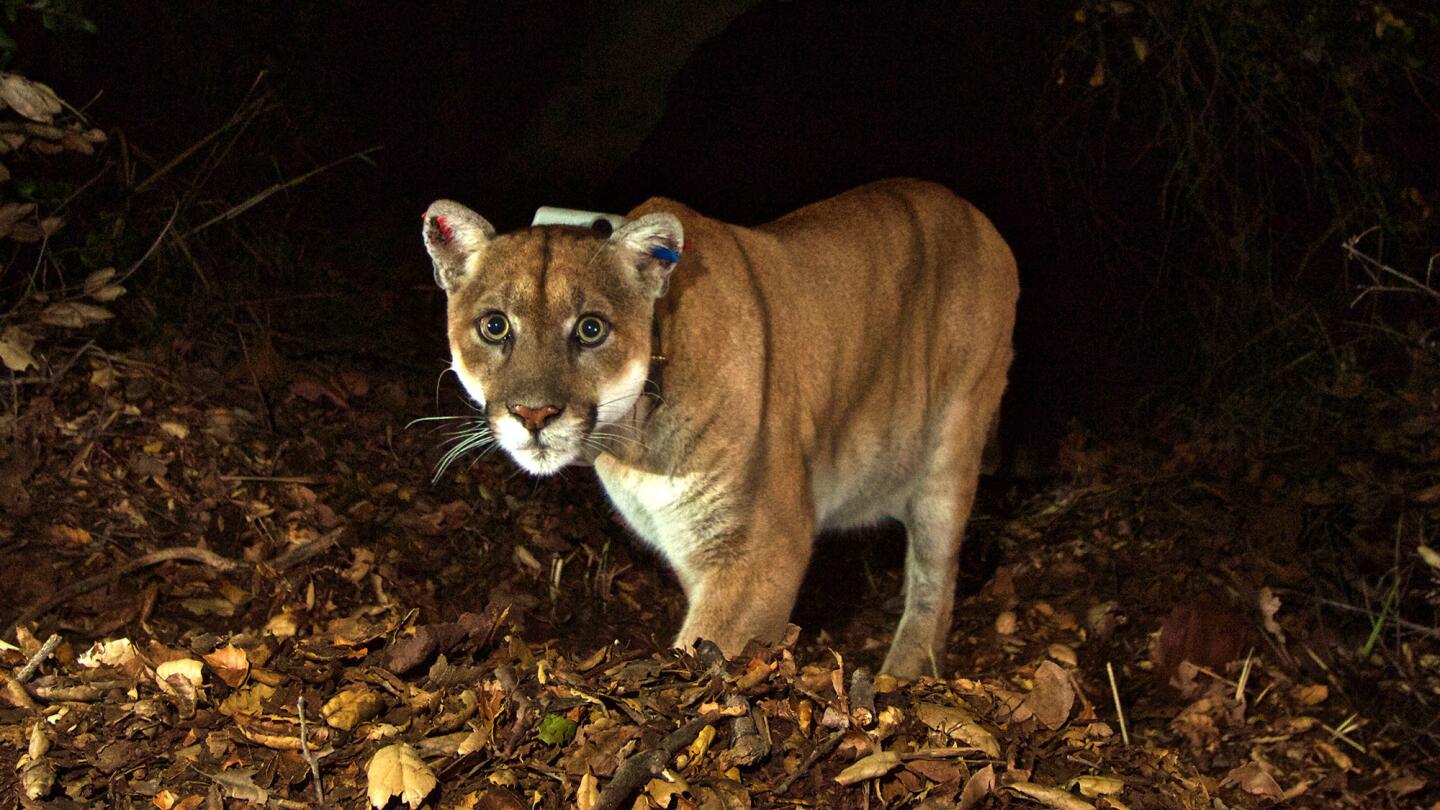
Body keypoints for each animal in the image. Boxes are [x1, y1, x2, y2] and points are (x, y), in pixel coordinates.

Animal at [420, 177, 1019, 674]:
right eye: (495, 326)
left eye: (591, 329)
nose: (534, 414)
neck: (632, 442)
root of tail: (980, 219)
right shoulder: (691, 545)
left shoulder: (761, 549)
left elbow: (707, 651)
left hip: (951, 448)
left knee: (934, 581)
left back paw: (903, 675)